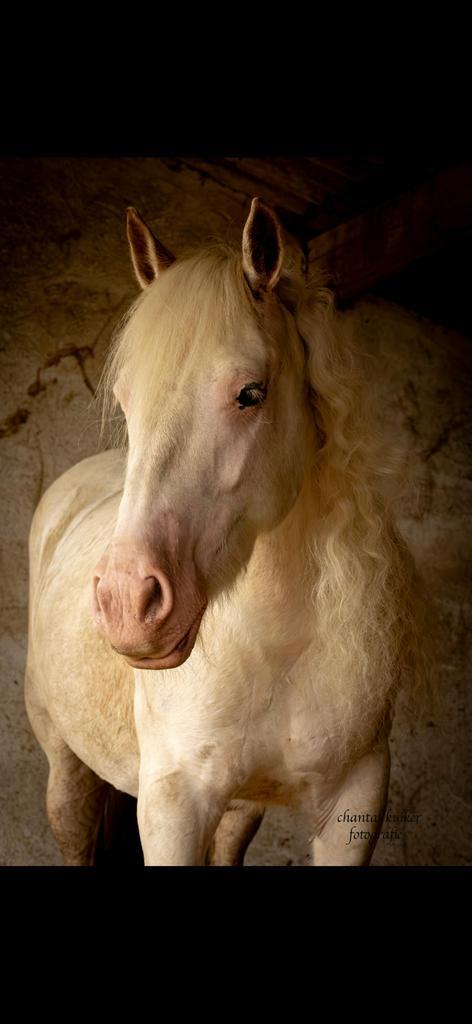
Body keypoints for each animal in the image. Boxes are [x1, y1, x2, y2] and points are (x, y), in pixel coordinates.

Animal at [25, 197, 429, 866]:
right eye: (126, 402)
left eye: (250, 393)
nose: (127, 603)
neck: (280, 648)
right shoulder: (172, 808)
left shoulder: (356, 799)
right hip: (67, 767)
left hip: (240, 809)